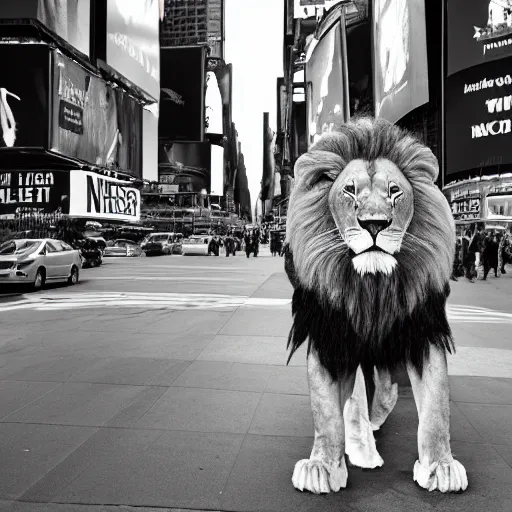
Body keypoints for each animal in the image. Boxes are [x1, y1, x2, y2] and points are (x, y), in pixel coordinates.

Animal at [286, 118, 470, 494]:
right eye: (350, 190)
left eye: (394, 191)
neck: (371, 287)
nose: (374, 223)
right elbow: (326, 411)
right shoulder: (329, 334)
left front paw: (441, 466)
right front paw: (322, 466)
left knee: (384, 388)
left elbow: (436, 407)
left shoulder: (422, 330)